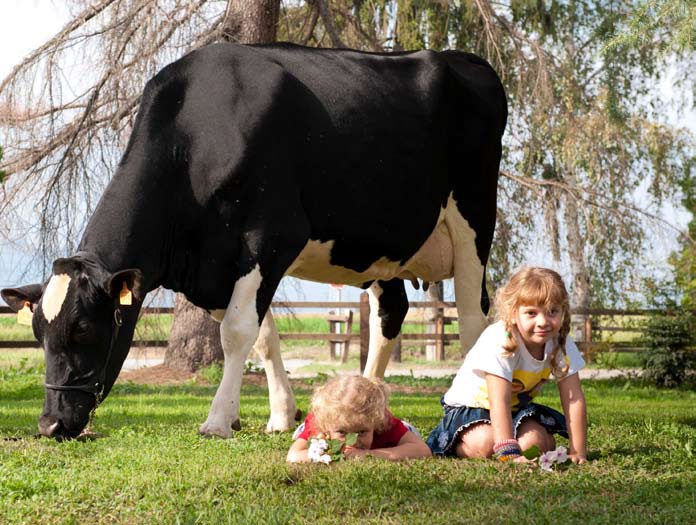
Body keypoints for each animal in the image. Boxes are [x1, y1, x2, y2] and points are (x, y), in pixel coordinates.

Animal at [2, 44, 508, 438]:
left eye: (84, 329)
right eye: (37, 333)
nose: (50, 424)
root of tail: (465, 60)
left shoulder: (272, 236)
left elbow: (238, 331)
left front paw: (217, 420)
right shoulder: (219, 265)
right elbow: (262, 336)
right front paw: (281, 414)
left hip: (473, 217)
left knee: (472, 318)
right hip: (379, 244)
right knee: (391, 314)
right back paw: (367, 403)